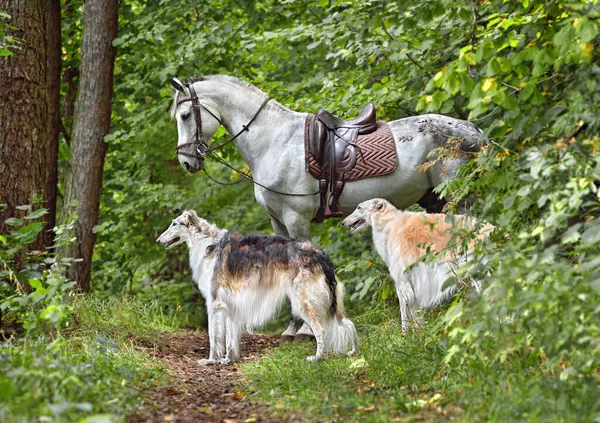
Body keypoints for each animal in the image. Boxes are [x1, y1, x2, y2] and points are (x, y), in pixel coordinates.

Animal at [168, 75, 482, 342]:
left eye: (185, 115)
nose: (186, 162)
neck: (273, 142)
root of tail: (473, 131)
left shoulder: (296, 219)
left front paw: (305, 328)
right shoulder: (277, 221)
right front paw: (292, 328)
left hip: (457, 197)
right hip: (435, 200)